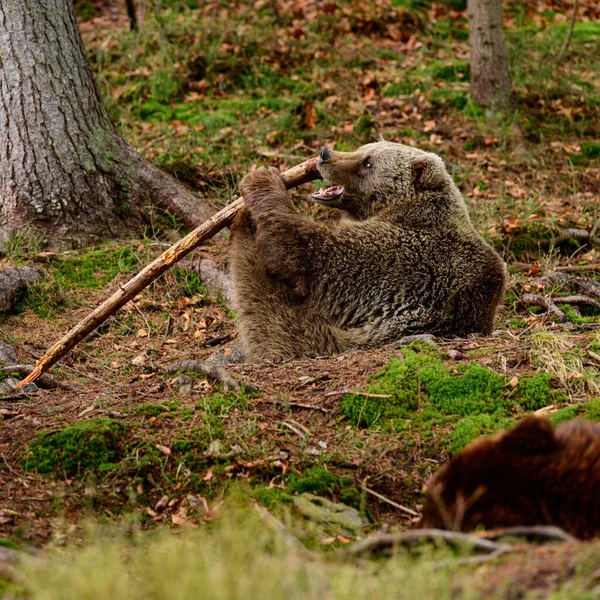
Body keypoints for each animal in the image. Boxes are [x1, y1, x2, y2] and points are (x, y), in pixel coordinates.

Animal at [230, 143, 506, 364]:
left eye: (368, 161)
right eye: (362, 148)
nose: (325, 154)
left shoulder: (402, 257)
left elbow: (306, 253)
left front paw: (260, 182)